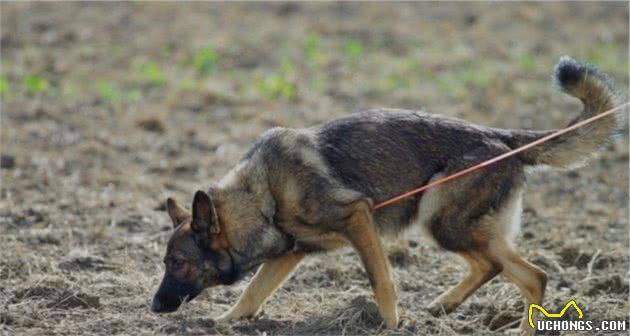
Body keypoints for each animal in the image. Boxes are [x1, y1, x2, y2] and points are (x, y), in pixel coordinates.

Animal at [152, 56, 624, 334]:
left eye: (178, 263)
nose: (154, 307)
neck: (262, 198)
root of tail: (502, 136)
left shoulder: (358, 219)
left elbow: (381, 281)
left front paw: (391, 323)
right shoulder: (291, 253)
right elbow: (253, 292)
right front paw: (227, 320)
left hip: (442, 221)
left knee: (522, 273)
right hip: (456, 227)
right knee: (511, 270)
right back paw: (445, 305)